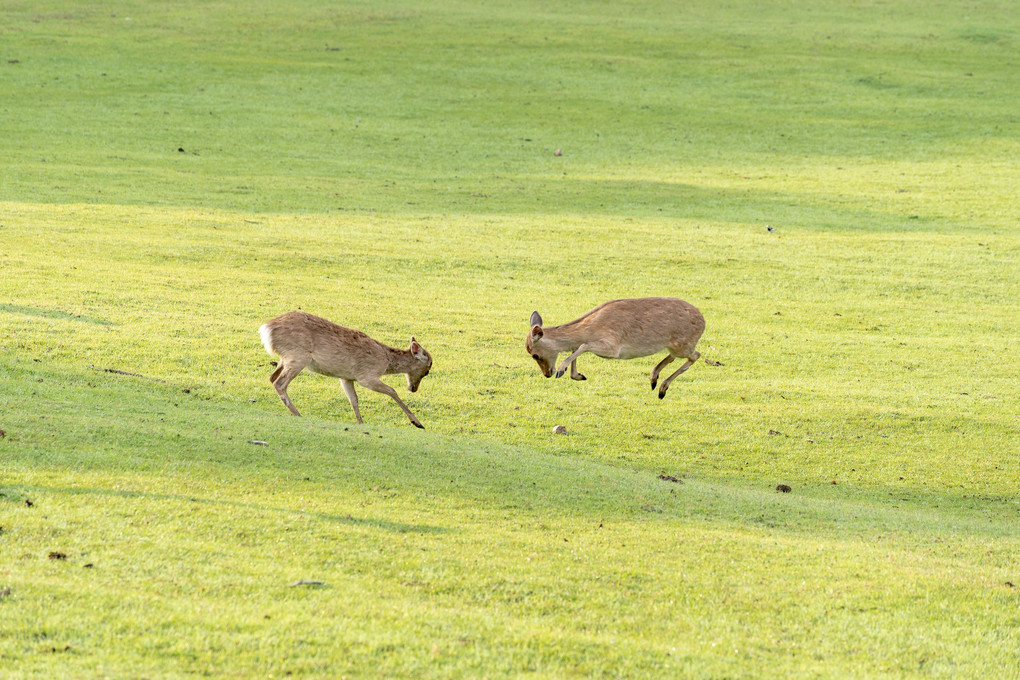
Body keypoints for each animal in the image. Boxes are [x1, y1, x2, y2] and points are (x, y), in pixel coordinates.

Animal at [259, 311, 430, 428]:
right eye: (427, 371)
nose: (413, 388)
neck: (386, 360)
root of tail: (265, 330)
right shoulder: (366, 375)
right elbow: (392, 390)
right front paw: (418, 423)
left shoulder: (346, 377)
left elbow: (353, 399)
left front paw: (361, 423)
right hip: (298, 357)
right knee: (280, 382)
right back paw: (298, 414)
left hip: (286, 358)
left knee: (272, 377)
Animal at [526, 295, 701, 399]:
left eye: (535, 355)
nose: (547, 374)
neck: (591, 328)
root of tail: (703, 321)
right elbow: (577, 347)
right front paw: (579, 375)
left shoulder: (613, 347)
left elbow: (583, 345)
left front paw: (562, 370)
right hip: (675, 346)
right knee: (674, 357)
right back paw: (653, 380)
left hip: (682, 345)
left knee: (696, 355)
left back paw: (662, 389)